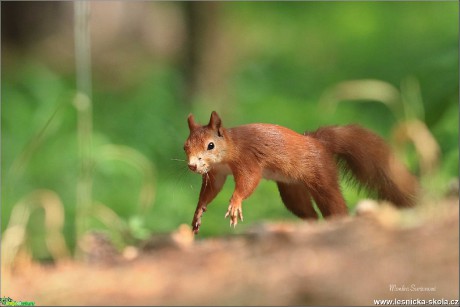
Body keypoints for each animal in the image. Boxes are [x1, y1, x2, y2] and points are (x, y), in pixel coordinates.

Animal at [183, 112, 416, 235]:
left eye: (210, 145)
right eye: (185, 146)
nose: (192, 166)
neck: (231, 148)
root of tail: (319, 143)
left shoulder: (248, 161)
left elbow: (248, 181)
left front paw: (235, 203)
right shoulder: (217, 173)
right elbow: (211, 191)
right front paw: (198, 211)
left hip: (321, 176)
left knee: (333, 202)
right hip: (292, 190)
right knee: (309, 213)